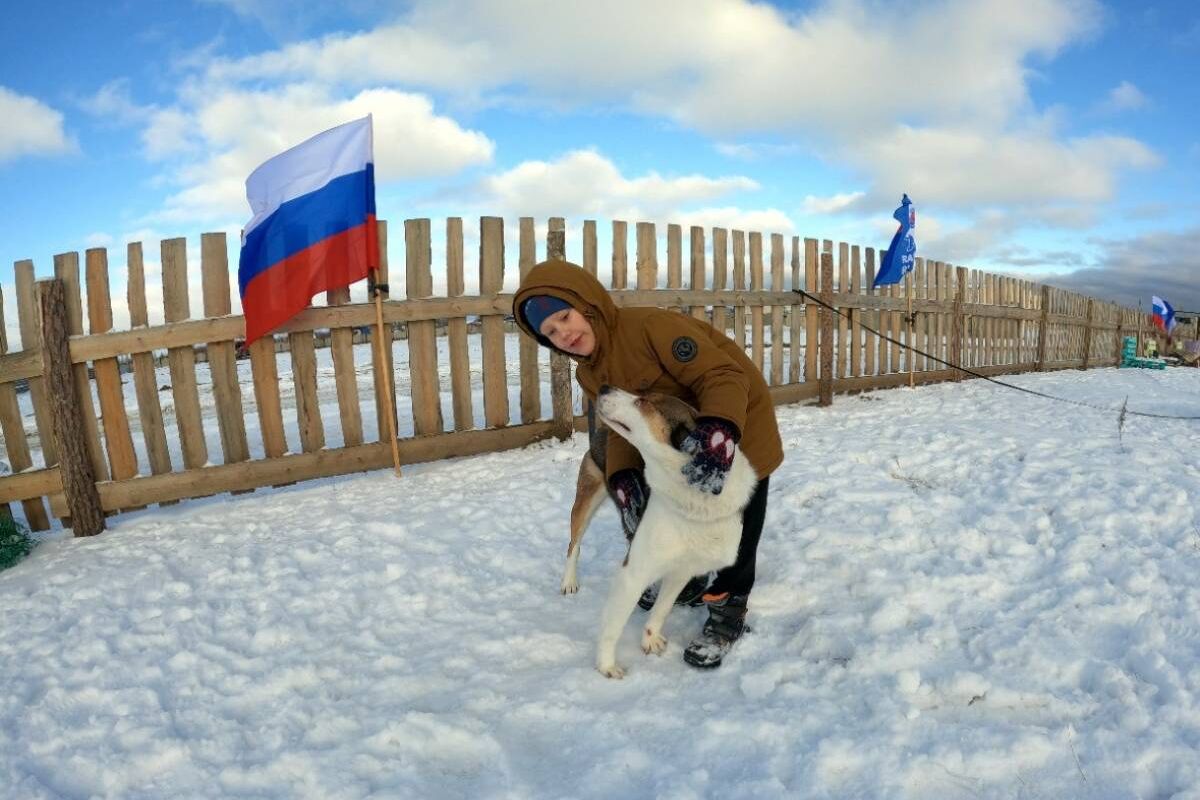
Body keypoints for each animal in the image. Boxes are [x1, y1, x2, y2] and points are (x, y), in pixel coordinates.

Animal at [556, 383, 753, 681]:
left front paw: (649, 638)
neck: (692, 503)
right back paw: (569, 581)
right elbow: (613, 627)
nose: (604, 387)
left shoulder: (683, 570)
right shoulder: (633, 573)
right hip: (585, 502)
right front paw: (606, 666)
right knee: (573, 544)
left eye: (643, 402)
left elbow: (662, 609)